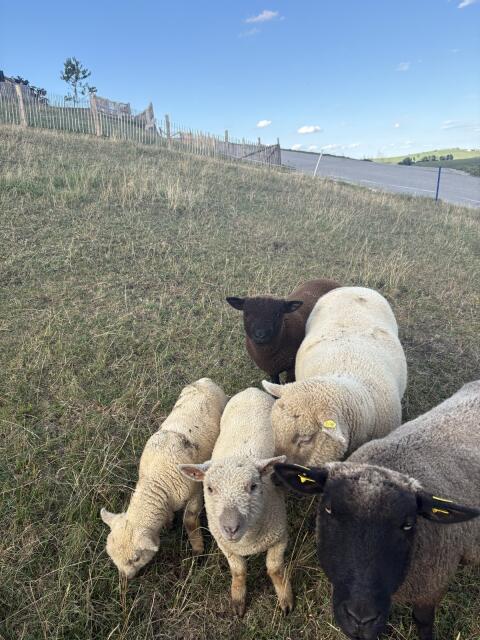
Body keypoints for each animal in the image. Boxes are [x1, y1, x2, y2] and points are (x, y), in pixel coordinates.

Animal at [100, 378, 227, 578]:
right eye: (111, 554)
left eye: (136, 558)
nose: (124, 579)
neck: (157, 479)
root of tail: (205, 380)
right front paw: (168, 523)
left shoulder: (194, 494)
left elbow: (190, 522)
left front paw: (198, 550)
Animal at [179, 388, 292, 617]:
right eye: (209, 488)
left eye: (253, 486)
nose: (230, 528)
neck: (247, 543)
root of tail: (251, 390)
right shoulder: (225, 544)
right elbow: (238, 571)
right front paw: (238, 601)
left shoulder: (280, 536)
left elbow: (274, 569)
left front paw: (285, 599)